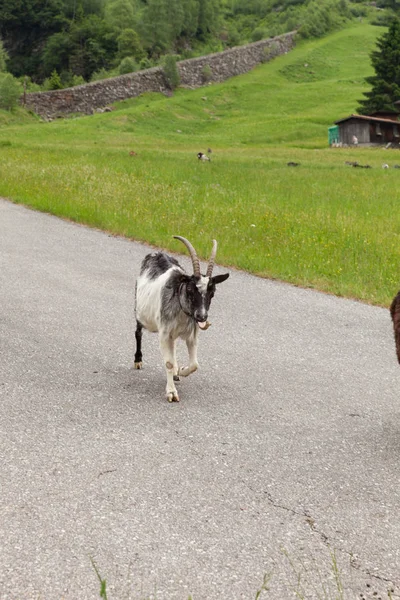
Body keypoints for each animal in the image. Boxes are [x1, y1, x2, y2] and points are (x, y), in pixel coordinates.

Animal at [134, 237, 228, 400]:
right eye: (190, 289)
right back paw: (138, 360)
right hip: (140, 312)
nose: (202, 316)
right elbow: (168, 363)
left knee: (174, 348)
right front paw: (171, 392)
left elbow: (195, 364)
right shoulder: (164, 333)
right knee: (138, 333)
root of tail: (156, 254)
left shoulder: (192, 336)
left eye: (212, 292)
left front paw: (181, 370)